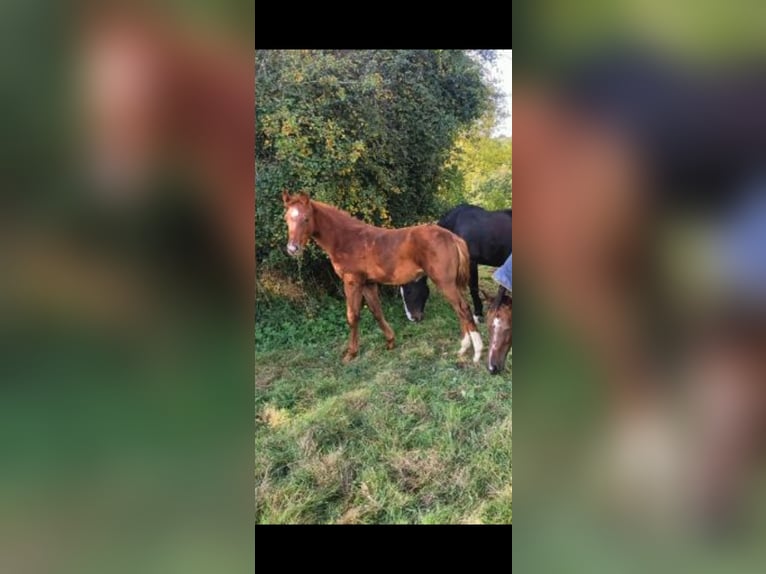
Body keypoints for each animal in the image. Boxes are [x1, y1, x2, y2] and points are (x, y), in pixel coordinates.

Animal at [282, 194, 486, 364]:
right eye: (287, 219)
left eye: (306, 218)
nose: (292, 249)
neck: (347, 239)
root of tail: (452, 237)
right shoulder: (368, 284)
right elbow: (376, 311)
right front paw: (390, 342)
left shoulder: (352, 282)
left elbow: (353, 316)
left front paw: (351, 353)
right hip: (452, 283)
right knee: (460, 310)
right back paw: (463, 349)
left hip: (445, 283)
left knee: (463, 309)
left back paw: (477, 352)